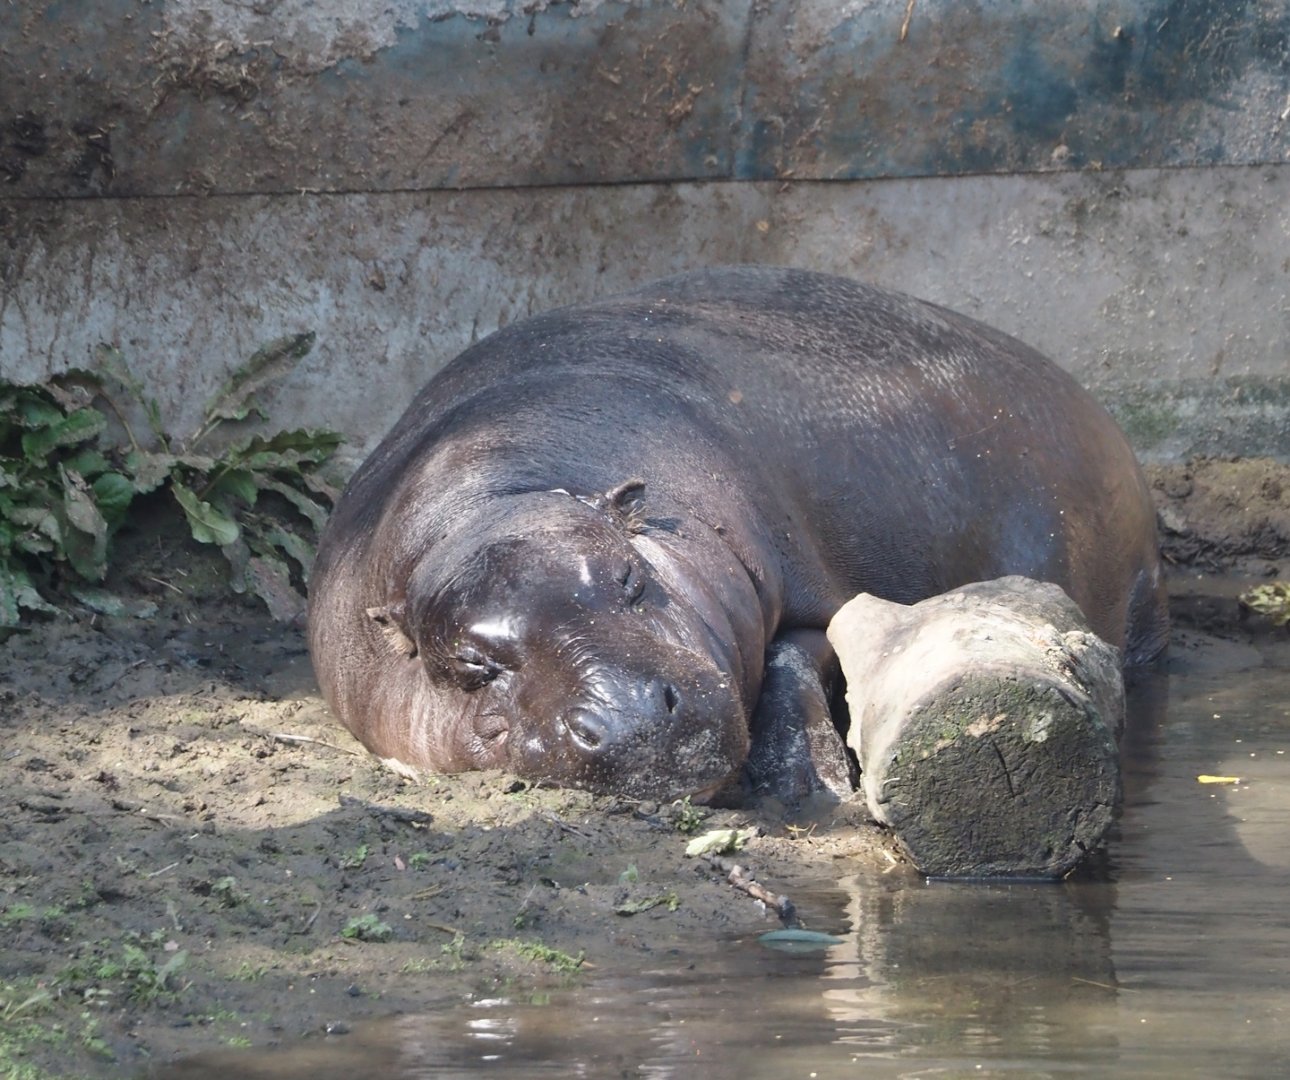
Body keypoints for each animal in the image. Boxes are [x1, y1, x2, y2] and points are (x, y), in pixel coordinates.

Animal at [307, 266, 1167, 803]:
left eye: (631, 580)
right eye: (469, 665)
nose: (630, 720)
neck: (493, 496)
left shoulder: (815, 596)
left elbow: (792, 657)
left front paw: (807, 784)